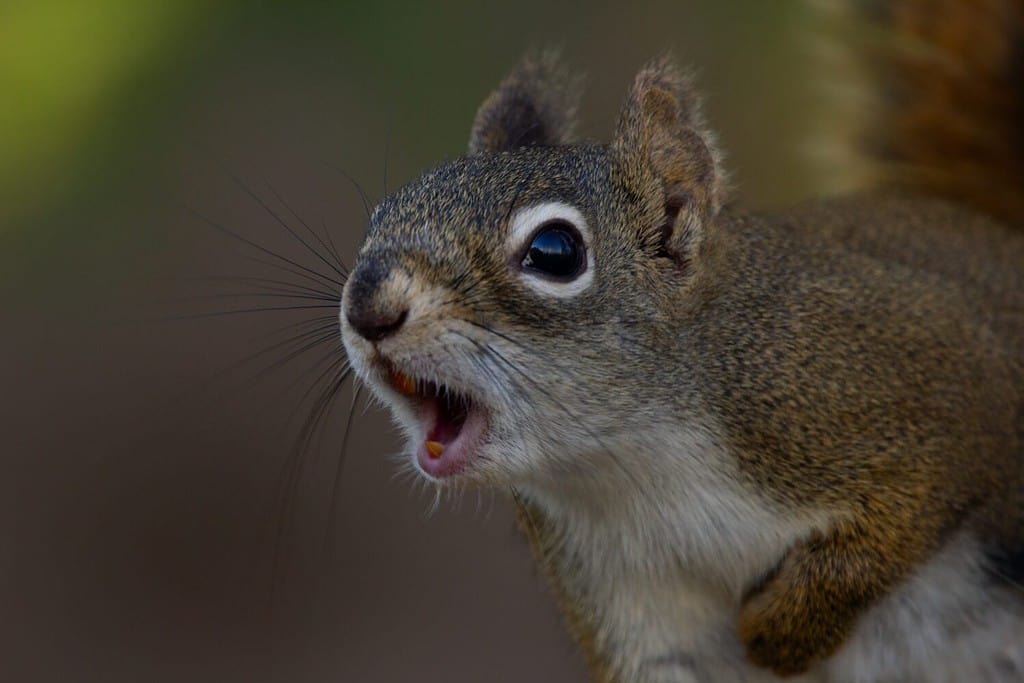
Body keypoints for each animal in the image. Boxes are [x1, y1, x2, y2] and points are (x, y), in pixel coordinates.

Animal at [337, 2, 1024, 679]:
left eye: (555, 251)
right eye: (382, 214)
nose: (366, 305)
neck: (636, 458)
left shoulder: (924, 376)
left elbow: (907, 510)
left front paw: (782, 629)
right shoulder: (626, 599)